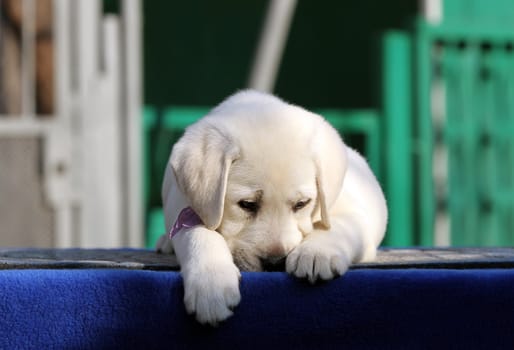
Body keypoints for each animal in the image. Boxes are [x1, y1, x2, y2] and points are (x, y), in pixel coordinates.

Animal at [158, 90, 386, 326]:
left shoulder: (353, 213)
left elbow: (335, 226)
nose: (275, 262)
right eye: (247, 205)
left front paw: (316, 253)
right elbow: (199, 234)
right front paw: (211, 283)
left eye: (302, 204)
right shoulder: (186, 209)